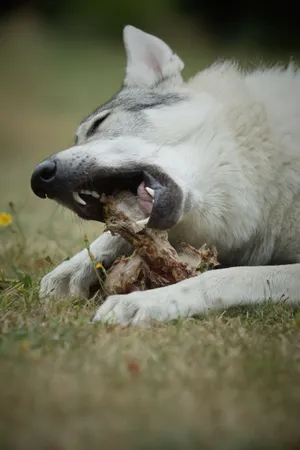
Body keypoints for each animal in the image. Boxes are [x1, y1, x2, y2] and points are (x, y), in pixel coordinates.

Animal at [31, 24, 300, 326]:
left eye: (99, 123)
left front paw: (147, 302)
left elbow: (225, 278)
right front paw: (70, 271)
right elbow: (116, 237)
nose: (38, 178)